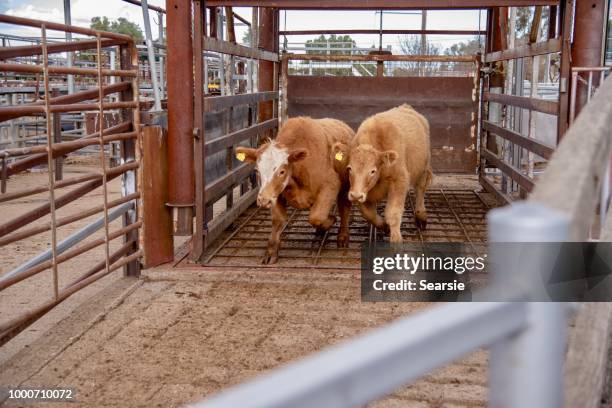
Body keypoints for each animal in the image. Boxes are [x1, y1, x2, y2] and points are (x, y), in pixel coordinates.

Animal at [237, 117, 356, 264]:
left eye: (282, 171)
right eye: (257, 171)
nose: (263, 200)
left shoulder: (330, 185)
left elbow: (316, 217)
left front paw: (331, 220)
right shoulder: (276, 195)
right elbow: (278, 220)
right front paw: (271, 251)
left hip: (345, 187)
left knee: (344, 209)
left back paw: (342, 236)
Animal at [338, 105, 432, 245]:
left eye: (372, 171)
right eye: (349, 168)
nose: (355, 196)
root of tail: (406, 107)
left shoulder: (399, 180)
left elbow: (393, 214)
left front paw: (396, 239)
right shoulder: (362, 191)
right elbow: (369, 214)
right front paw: (384, 226)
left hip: (423, 168)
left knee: (420, 189)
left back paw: (421, 216)